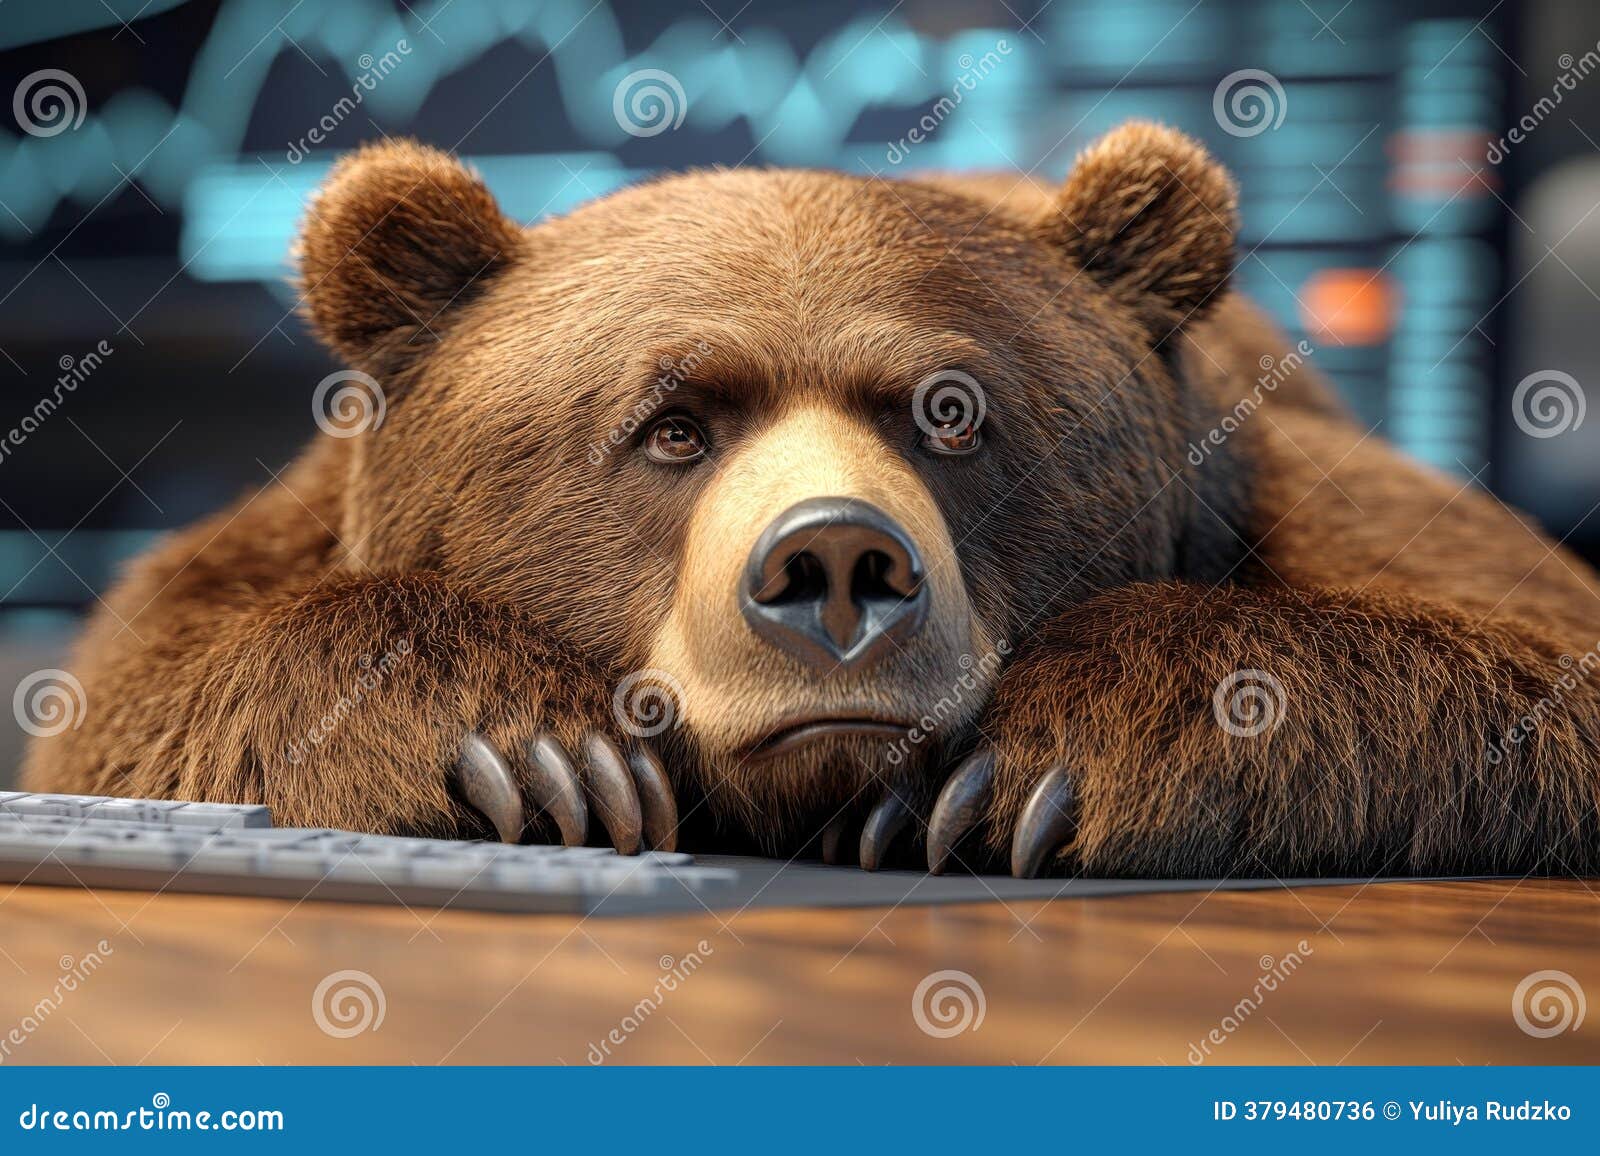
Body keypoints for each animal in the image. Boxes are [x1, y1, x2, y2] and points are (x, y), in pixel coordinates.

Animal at [23, 121, 1600, 879]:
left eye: (952, 411)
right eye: (671, 424)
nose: (836, 564)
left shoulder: (1288, 484)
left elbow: (1539, 654)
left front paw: (1019, 771)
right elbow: (131, 704)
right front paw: (532, 752)